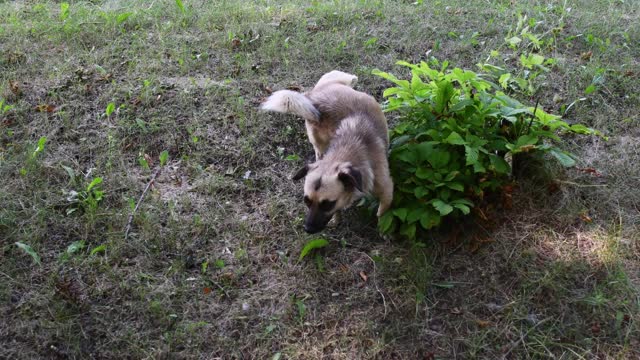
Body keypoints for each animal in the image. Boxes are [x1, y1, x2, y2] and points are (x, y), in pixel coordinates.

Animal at [258, 71, 390, 233]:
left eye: (327, 204)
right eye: (306, 201)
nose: (307, 229)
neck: (346, 150)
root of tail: (313, 98)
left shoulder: (386, 191)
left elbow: (381, 213)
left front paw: (382, 229)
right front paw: (337, 219)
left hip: (344, 78)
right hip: (318, 143)